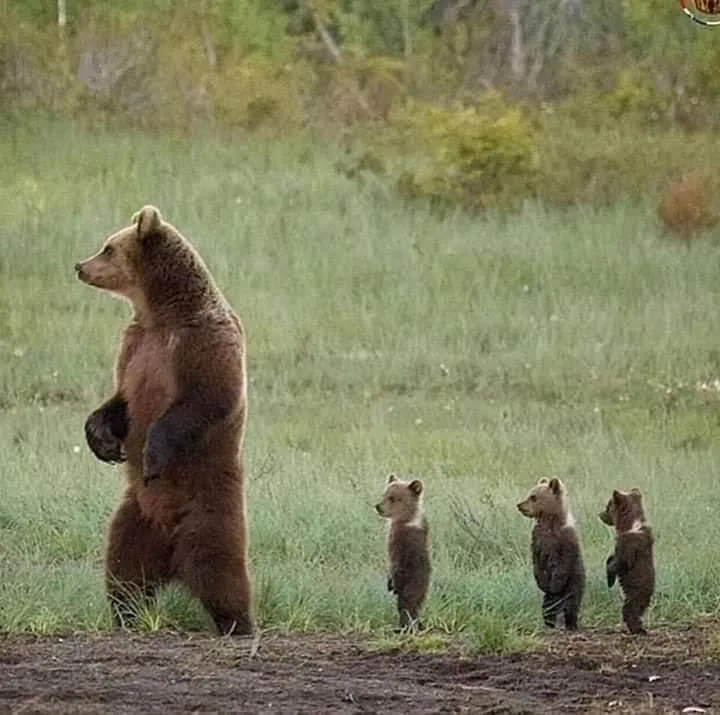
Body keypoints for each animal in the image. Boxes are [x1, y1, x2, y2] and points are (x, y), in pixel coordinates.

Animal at [75, 205, 252, 636]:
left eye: (107, 247)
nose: (80, 266)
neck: (160, 314)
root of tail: (171, 552)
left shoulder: (200, 341)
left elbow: (206, 398)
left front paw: (152, 454)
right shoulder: (136, 346)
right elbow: (121, 399)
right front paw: (100, 439)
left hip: (209, 510)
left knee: (221, 571)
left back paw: (237, 623)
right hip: (135, 516)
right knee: (123, 569)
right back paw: (125, 614)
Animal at [375, 473, 431, 631]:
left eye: (393, 498)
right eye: (385, 494)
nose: (378, 507)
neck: (405, 519)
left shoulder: (402, 543)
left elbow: (396, 563)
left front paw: (391, 584)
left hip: (413, 582)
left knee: (406, 605)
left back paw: (403, 627)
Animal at [517, 476, 585, 631]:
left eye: (533, 497)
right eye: (529, 494)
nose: (519, 505)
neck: (550, 523)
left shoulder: (564, 541)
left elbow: (562, 564)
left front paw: (554, 584)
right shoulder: (538, 539)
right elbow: (536, 562)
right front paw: (541, 582)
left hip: (574, 584)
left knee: (571, 605)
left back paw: (571, 624)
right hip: (549, 599)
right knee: (548, 607)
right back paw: (549, 623)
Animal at [599, 488, 655, 635]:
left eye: (608, 507)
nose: (599, 514)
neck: (630, 526)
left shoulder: (629, 547)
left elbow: (620, 563)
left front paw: (610, 579)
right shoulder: (619, 546)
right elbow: (611, 558)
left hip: (634, 596)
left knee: (630, 612)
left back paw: (637, 630)